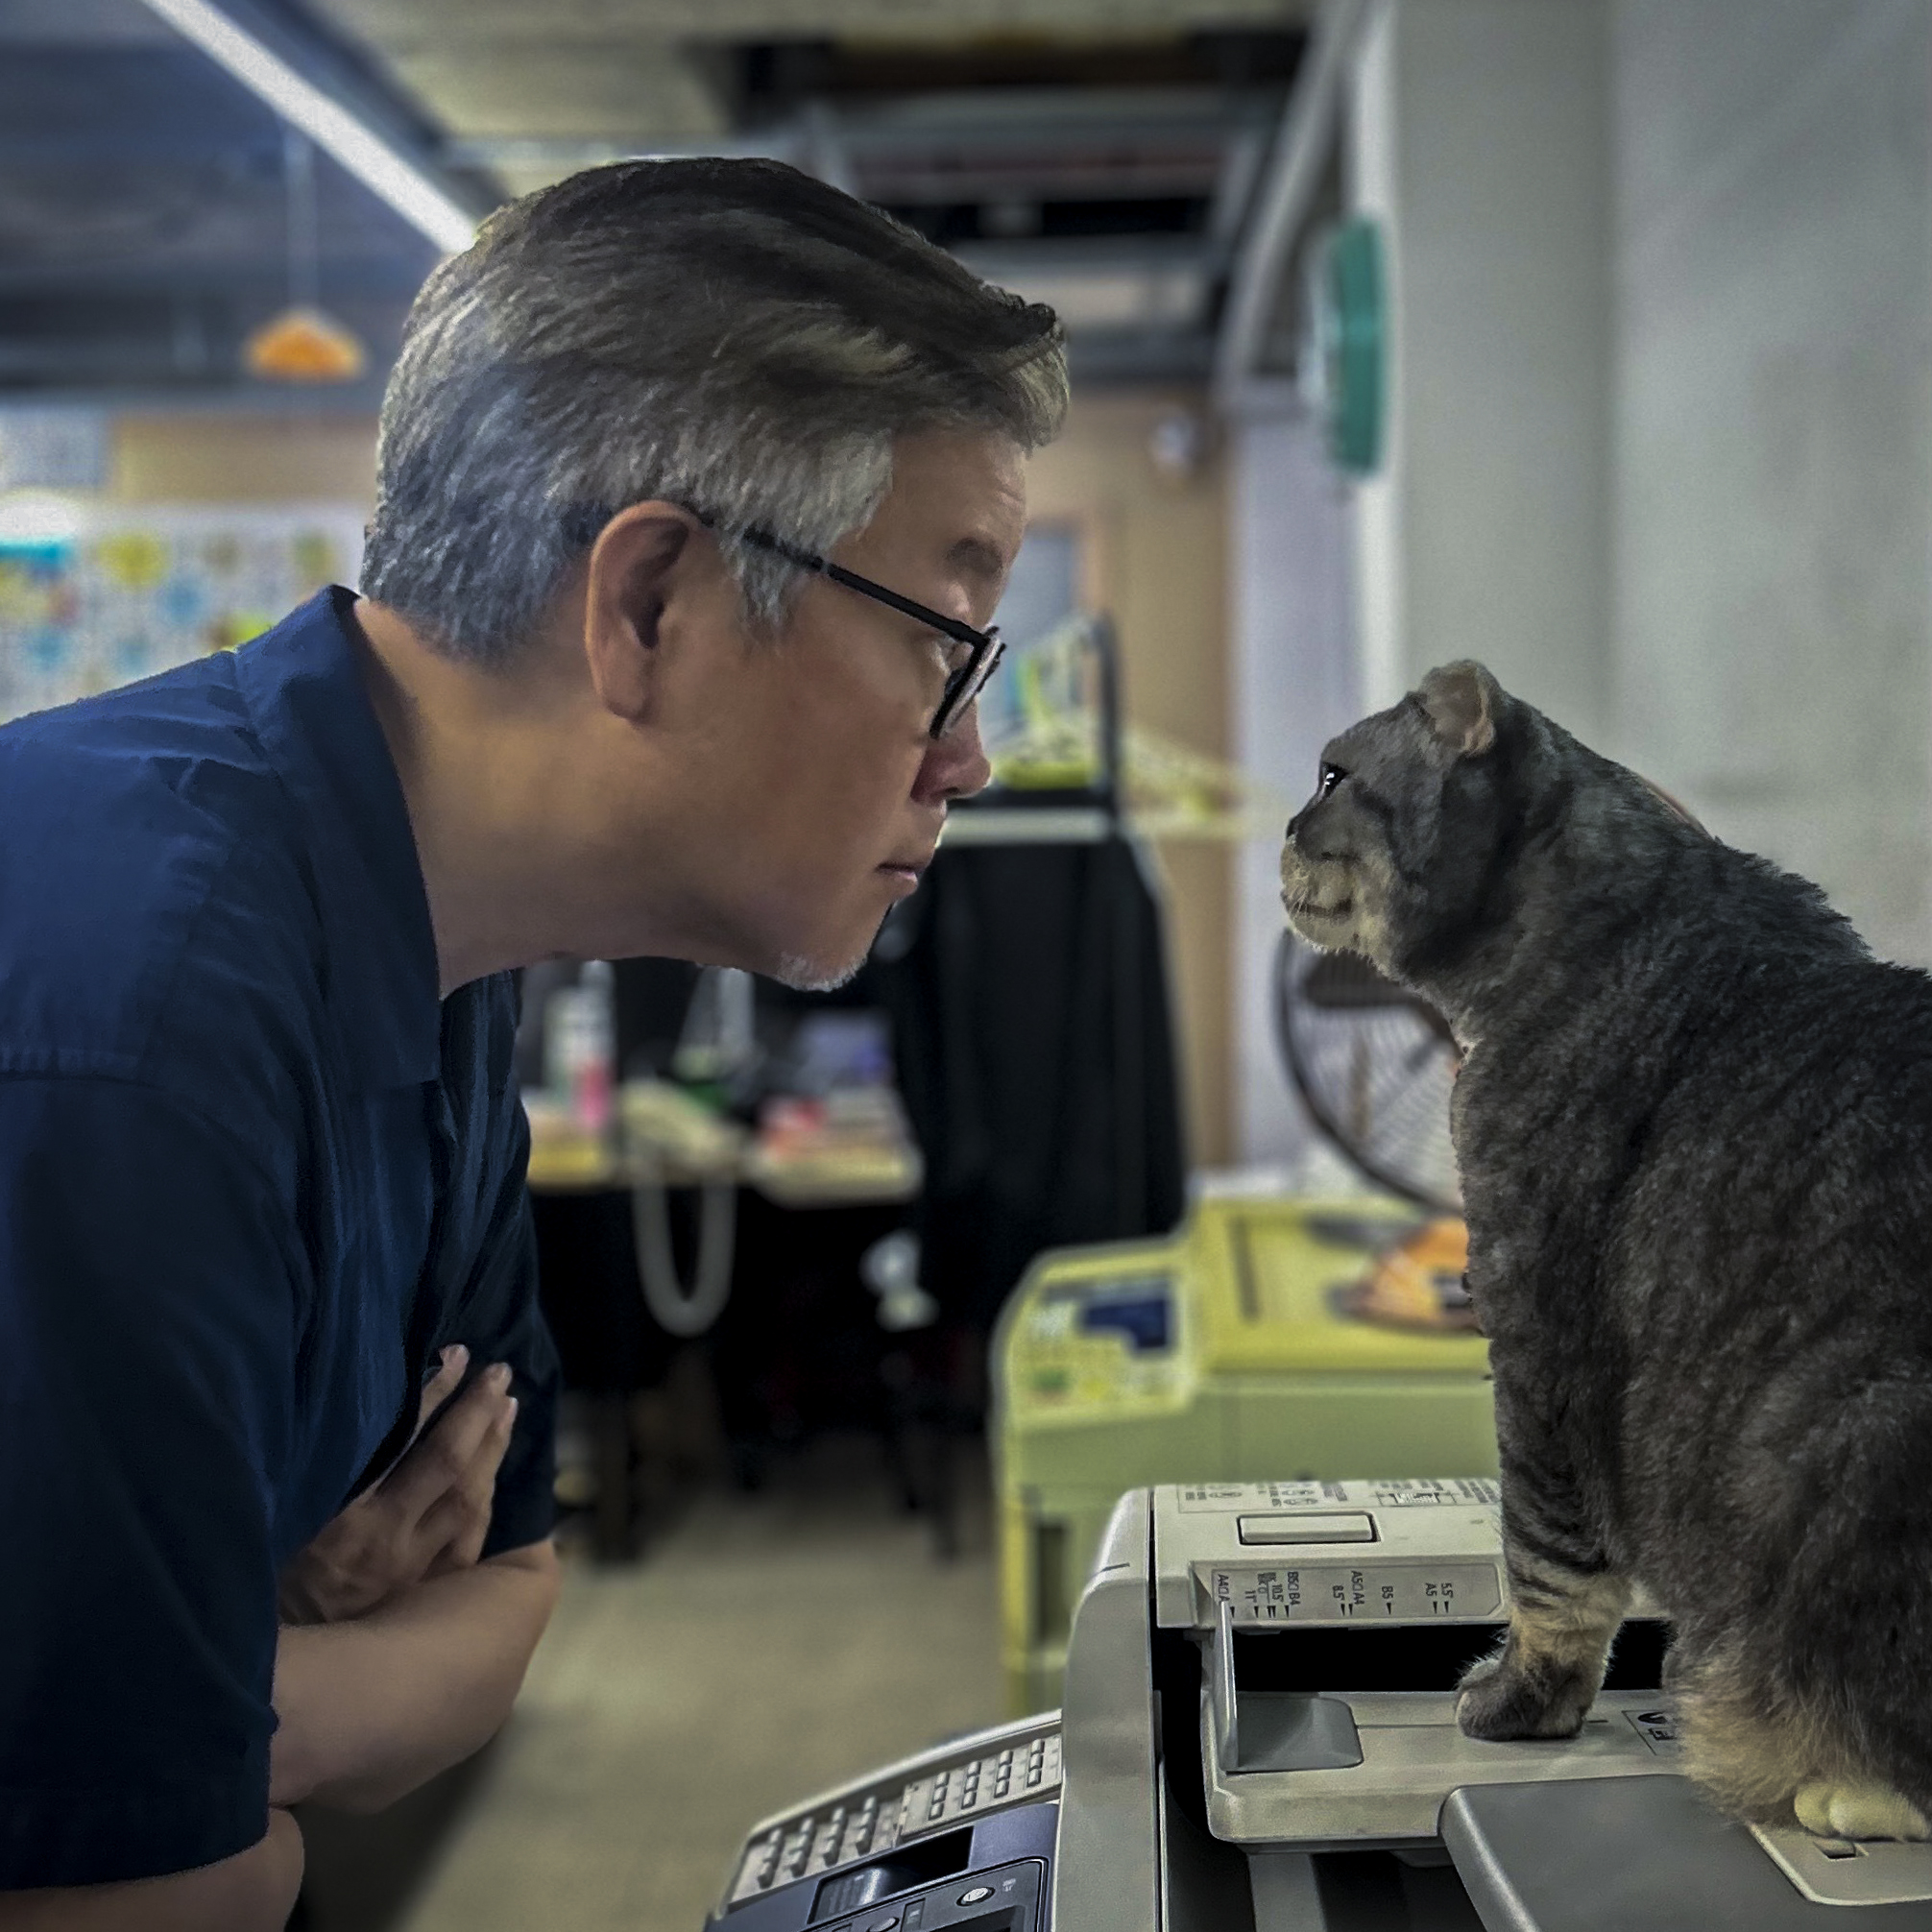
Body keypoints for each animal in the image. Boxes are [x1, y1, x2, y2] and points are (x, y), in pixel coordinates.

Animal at [1282, 661, 1932, 1839]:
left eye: (1332, 775)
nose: (1283, 825)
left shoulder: (1535, 1334)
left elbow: (1545, 1566)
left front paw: (1519, 1699)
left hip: (1844, 1433)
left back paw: (1836, 1784)